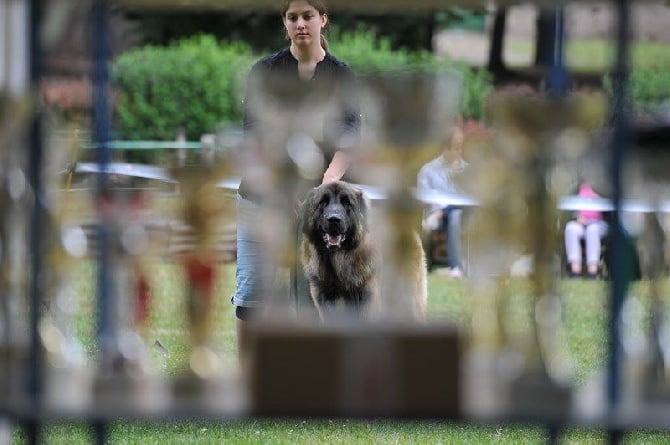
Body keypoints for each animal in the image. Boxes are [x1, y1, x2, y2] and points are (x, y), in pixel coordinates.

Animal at [300, 180, 428, 320]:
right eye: (323, 202)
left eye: (347, 203)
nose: (334, 219)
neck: (338, 260)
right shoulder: (324, 296)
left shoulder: (367, 297)